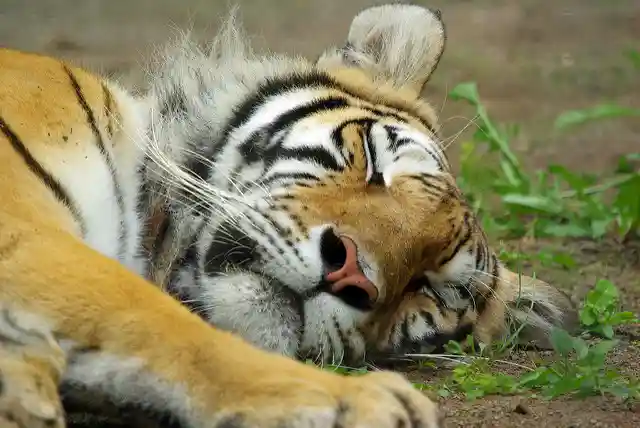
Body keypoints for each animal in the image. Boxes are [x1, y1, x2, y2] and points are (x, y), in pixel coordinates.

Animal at [0, 3, 578, 427]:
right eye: (375, 163)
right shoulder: (27, 228)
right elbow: (157, 320)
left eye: (435, 287)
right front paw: (365, 403)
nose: (350, 273)